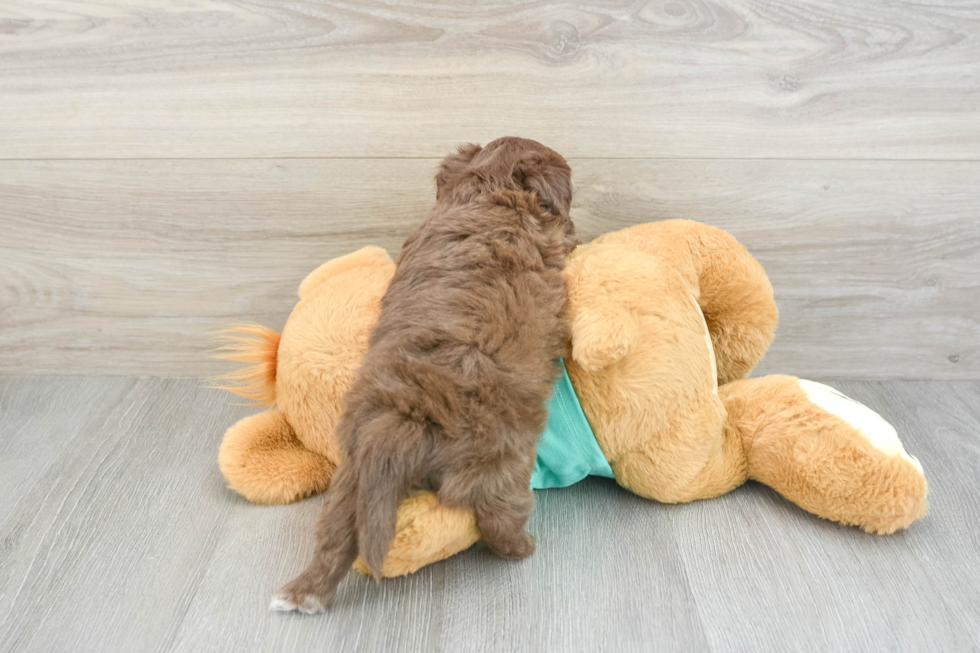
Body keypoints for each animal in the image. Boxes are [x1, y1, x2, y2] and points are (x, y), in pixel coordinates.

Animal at [270, 138, 576, 612]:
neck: (491, 190)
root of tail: (406, 414)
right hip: (501, 465)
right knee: (500, 518)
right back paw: (523, 547)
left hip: (351, 479)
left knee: (334, 539)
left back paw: (302, 595)